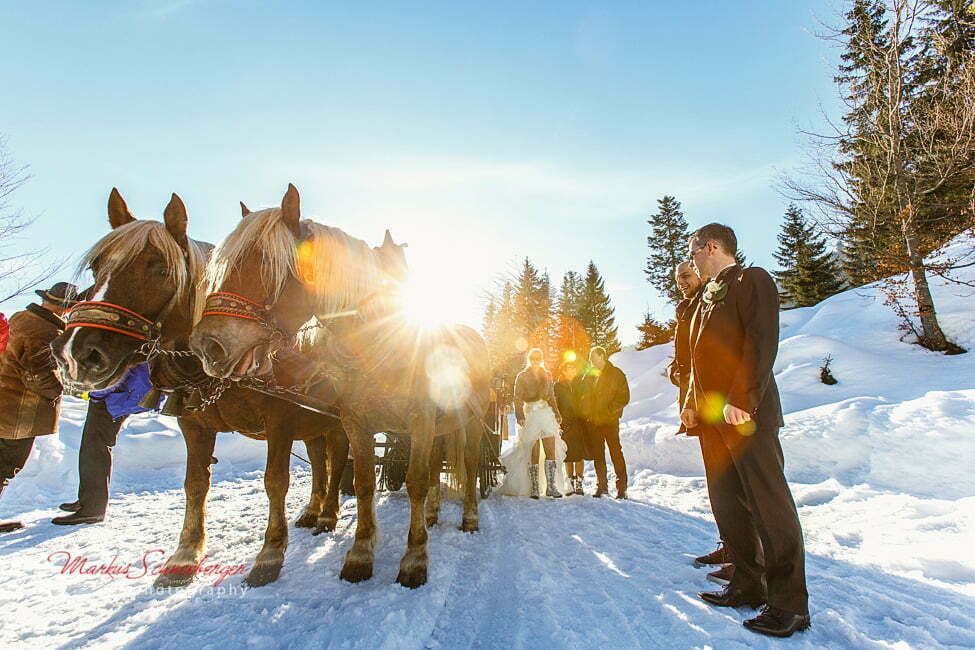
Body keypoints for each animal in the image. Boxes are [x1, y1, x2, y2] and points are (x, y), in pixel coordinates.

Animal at [51, 189, 350, 588]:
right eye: (96, 267)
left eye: (160, 269)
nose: (76, 353)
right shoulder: (194, 424)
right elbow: (195, 484)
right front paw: (184, 556)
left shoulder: (280, 420)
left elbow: (275, 481)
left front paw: (270, 553)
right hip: (314, 423)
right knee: (319, 460)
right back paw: (314, 510)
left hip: (337, 421)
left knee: (337, 458)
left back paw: (329, 513)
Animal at [193, 184, 492, 588]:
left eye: (266, 263)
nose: (208, 344)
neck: (381, 342)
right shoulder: (356, 423)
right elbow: (365, 483)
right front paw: (360, 553)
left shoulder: (421, 419)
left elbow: (414, 481)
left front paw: (414, 558)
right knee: (434, 467)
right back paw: (431, 514)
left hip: (471, 421)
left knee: (471, 465)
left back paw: (469, 517)